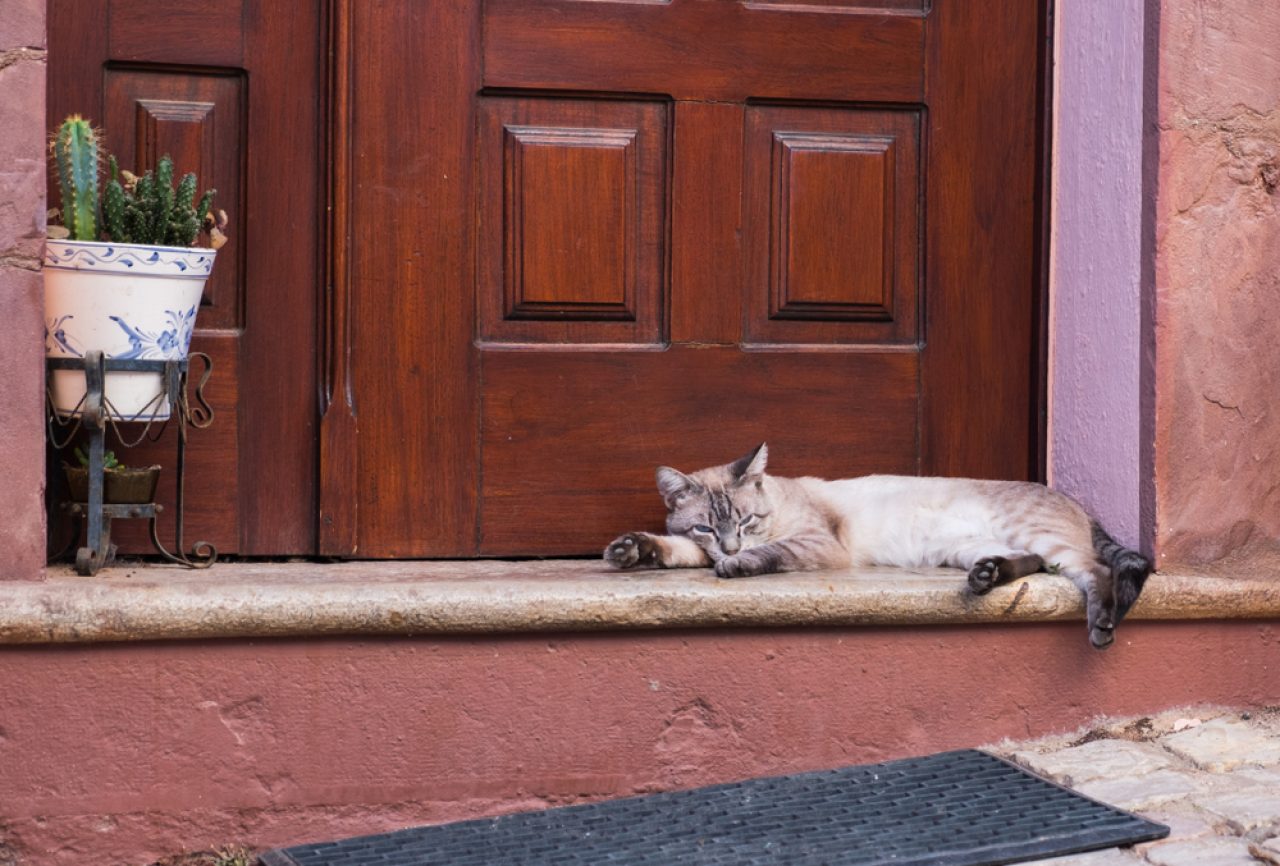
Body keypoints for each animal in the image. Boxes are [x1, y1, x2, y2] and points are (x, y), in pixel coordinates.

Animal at [604, 445, 1157, 649]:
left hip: (1037, 536)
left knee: (1094, 571)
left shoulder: (817, 545)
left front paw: (736, 567)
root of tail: (1074, 501)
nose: (730, 546)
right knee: (1033, 563)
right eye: (706, 527)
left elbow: (769, 556)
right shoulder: (696, 547)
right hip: (966, 547)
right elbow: (670, 549)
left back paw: (1102, 627)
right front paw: (631, 551)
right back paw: (986, 577)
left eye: (746, 520)